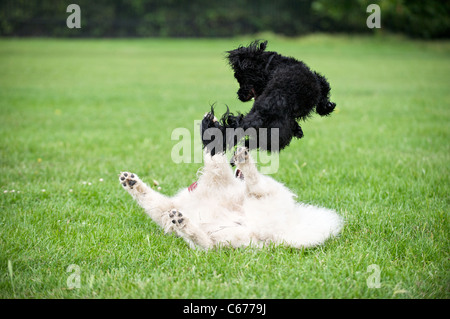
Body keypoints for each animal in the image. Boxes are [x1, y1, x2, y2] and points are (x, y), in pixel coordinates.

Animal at [118, 148, 342, 250]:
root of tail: (278, 232)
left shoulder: (219, 179)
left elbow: (215, 160)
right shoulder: (166, 208)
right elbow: (148, 198)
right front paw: (131, 183)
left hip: (271, 190)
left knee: (257, 186)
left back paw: (244, 161)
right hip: (223, 237)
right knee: (204, 243)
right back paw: (182, 222)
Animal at [202, 40, 336, 156]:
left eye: (239, 77)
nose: (239, 95)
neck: (272, 65)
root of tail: (261, 113)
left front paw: (298, 128)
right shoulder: (318, 80)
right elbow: (324, 88)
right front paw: (327, 107)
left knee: (251, 142)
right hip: (278, 136)